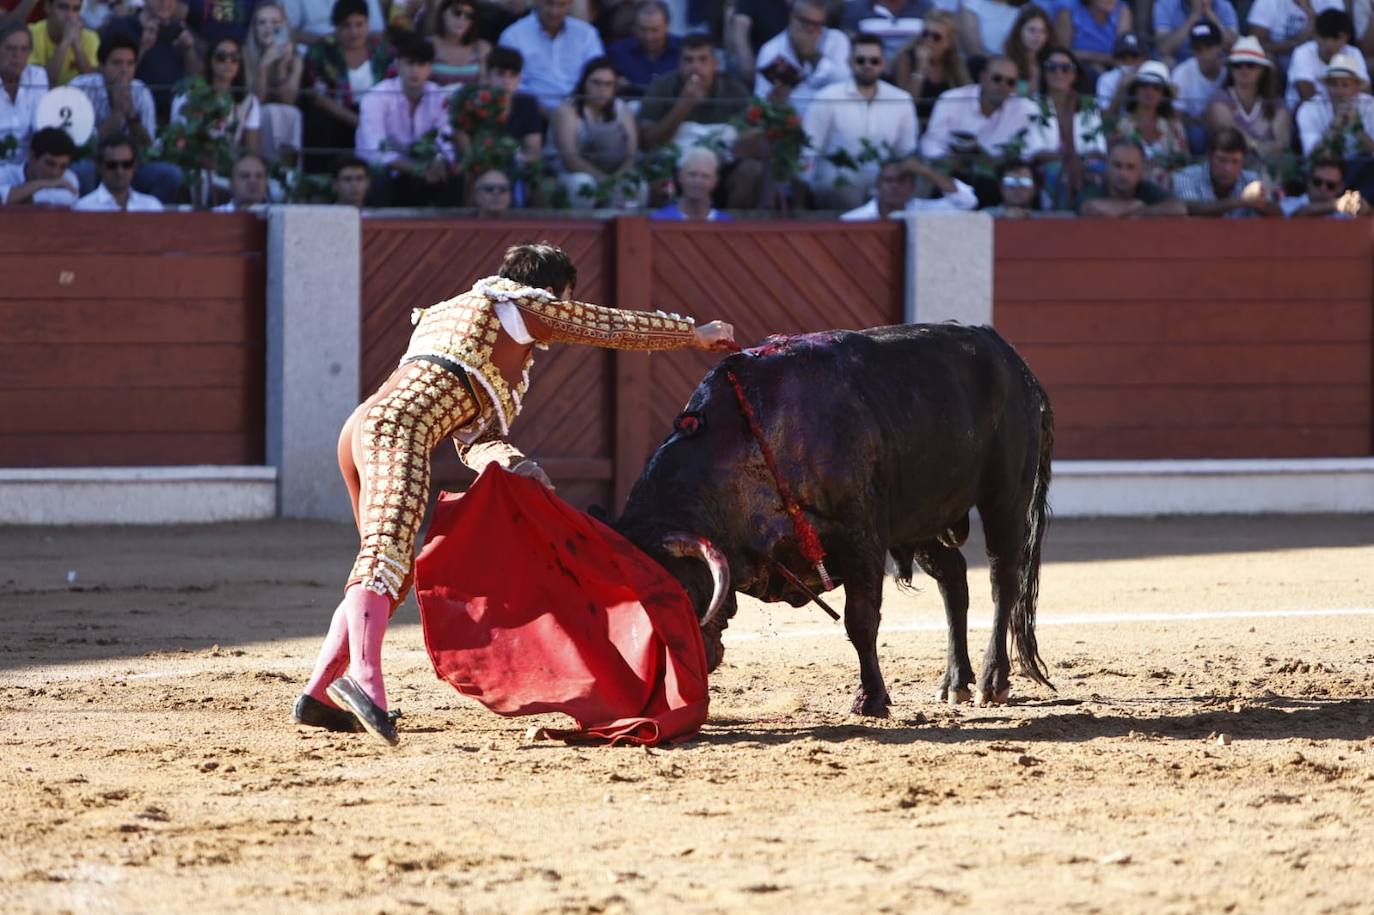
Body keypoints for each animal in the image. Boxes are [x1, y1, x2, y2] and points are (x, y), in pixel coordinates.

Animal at [612, 324, 1049, 714]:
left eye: (678, 593)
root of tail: (1008, 355)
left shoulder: (859, 535)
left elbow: (861, 620)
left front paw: (871, 699)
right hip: (923, 512)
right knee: (954, 580)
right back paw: (955, 682)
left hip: (1005, 498)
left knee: (1003, 580)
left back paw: (993, 682)